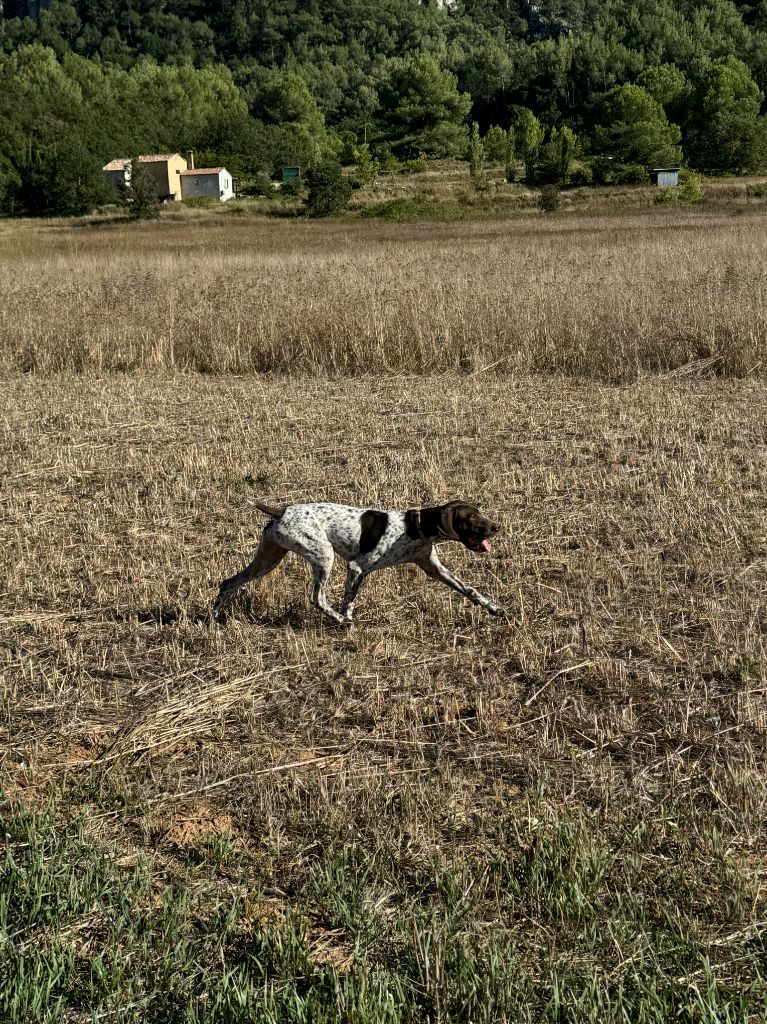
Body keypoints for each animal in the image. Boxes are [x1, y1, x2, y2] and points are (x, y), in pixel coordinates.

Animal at [215, 499, 501, 626]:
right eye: (472, 517)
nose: (496, 526)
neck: (415, 528)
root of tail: (281, 511)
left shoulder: (435, 569)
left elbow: (469, 589)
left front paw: (493, 607)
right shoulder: (358, 567)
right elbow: (349, 599)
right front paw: (347, 619)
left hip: (268, 559)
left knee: (228, 583)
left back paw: (215, 618)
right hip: (323, 555)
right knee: (317, 598)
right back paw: (342, 622)